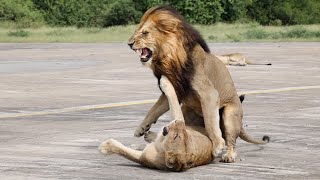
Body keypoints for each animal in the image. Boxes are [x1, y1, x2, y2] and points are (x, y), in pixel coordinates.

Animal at [127, 5, 268, 163]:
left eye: (145, 33)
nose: (129, 44)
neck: (170, 61)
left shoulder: (209, 93)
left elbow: (210, 121)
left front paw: (217, 145)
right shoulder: (174, 92)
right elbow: (153, 110)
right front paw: (141, 128)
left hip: (230, 115)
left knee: (231, 140)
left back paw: (228, 155)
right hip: (187, 111)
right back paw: (150, 134)